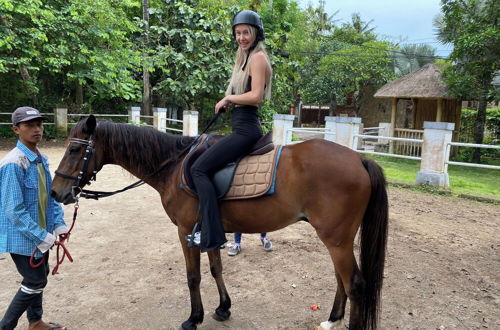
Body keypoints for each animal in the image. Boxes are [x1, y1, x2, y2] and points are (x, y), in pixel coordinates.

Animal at [50, 116, 388, 330]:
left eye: (75, 149)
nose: (56, 192)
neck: (173, 165)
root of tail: (359, 159)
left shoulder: (186, 231)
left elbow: (193, 277)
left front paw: (194, 318)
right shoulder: (210, 229)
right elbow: (216, 268)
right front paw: (223, 308)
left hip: (336, 239)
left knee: (355, 285)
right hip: (336, 239)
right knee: (342, 280)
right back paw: (332, 319)